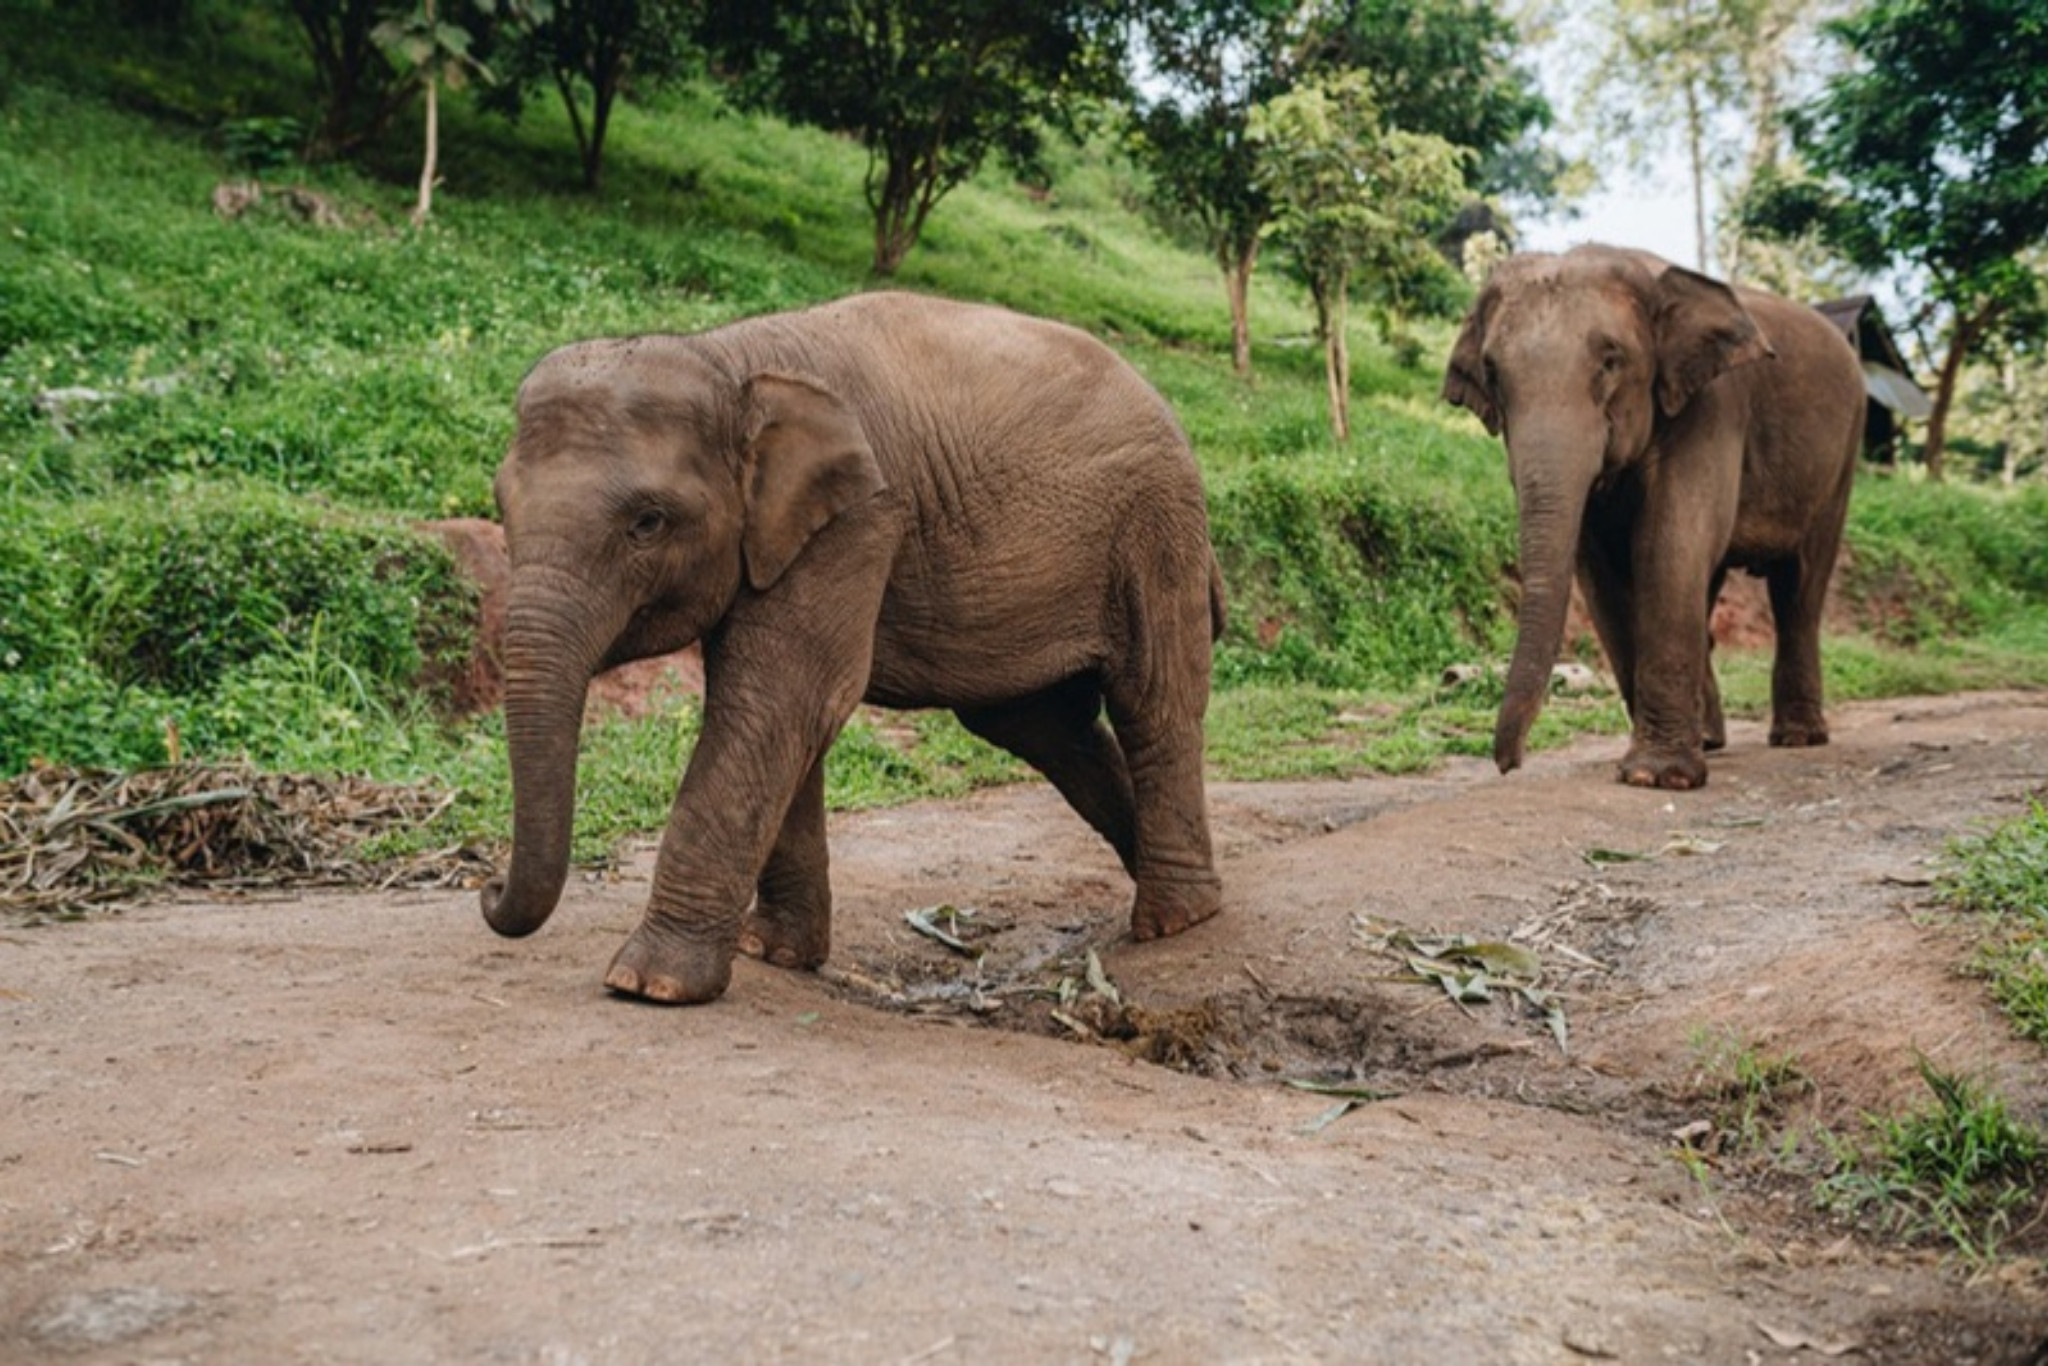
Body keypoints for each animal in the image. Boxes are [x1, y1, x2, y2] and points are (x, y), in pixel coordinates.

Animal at [480, 291, 1226, 1004]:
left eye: (647, 523)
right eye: (502, 505)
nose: (486, 890)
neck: (728, 357)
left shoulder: (861, 517)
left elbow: (782, 698)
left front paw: (648, 985)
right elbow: (784, 714)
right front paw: (774, 952)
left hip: (1155, 529)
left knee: (1151, 702)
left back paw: (1174, 920)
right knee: (1042, 728)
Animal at [1441, 244, 1866, 790]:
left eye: (1611, 361)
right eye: (1492, 373)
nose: (1507, 764)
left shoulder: (1711, 407)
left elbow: (1669, 544)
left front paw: (1657, 777)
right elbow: (1601, 574)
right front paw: (1662, 765)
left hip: (1842, 459)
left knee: (1798, 587)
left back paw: (1797, 738)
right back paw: (1711, 739)